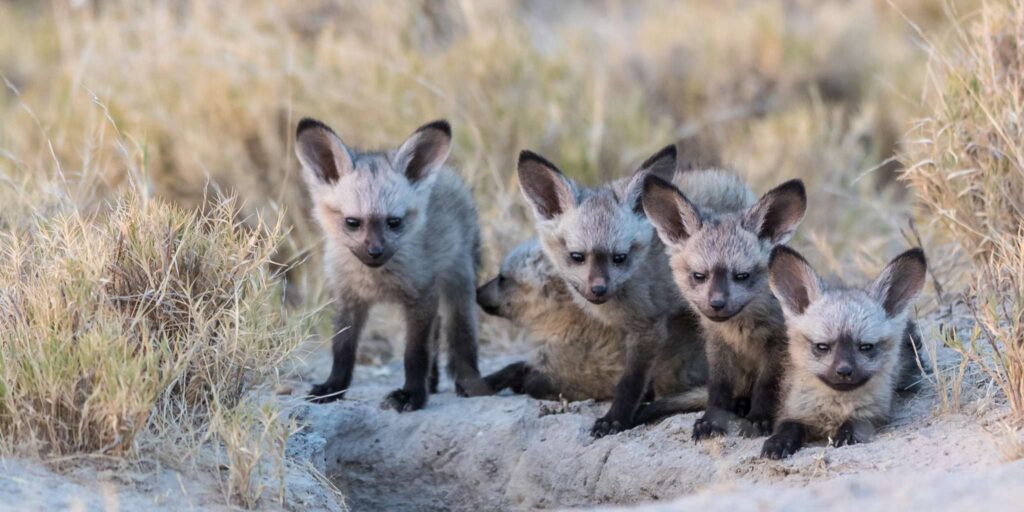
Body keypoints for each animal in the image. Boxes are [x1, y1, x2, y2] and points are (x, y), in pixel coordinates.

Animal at [294, 118, 491, 412]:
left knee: (461, 334)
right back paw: (432, 383)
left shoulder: (421, 297)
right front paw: (333, 388)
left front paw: (411, 395)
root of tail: (448, 174)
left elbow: (415, 353)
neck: (376, 280)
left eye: (394, 222)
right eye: (352, 222)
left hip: (458, 283)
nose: (375, 252)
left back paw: (468, 381)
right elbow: (342, 350)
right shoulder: (348, 298)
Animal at [516, 143, 718, 437]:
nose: (598, 289)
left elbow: (629, 381)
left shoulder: (648, 328)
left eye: (619, 258)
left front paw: (615, 418)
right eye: (577, 257)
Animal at [641, 174, 806, 439]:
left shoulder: (778, 344)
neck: (741, 332)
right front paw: (711, 420)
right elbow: (718, 389)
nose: (716, 304)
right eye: (699, 276)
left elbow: (767, 385)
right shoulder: (717, 344)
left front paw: (758, 419)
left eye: (742, 276)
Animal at [761, 246, 927, 459]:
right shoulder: (793, 409)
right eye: (822, 346)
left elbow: (855, 424)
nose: (844, 371)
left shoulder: (874, 413)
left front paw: (845, 435)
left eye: (866, 346)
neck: (834, 408)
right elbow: (787, 427)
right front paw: (777, 443)